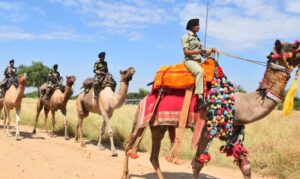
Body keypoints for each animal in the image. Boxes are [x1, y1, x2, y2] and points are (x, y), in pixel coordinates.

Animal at [122, 39, 300, 179]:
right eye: (293, 46)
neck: (240, 104)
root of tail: (143, 99)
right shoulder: (205, 130)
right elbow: (198, 163)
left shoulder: (235, 130)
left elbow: (246, 165)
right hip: (141, 119)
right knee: (128, 144)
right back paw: (125, 174)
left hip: (159, 125)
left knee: (153, 155)